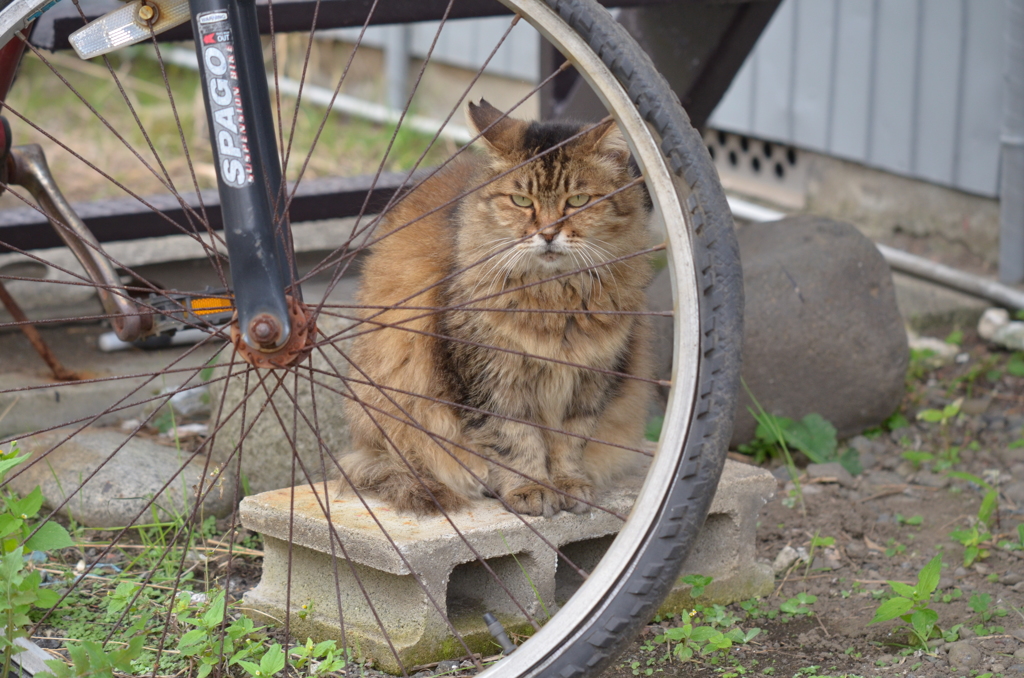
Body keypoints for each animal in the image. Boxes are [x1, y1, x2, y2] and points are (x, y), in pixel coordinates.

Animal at [337, 99, 655, 516]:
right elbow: (515, 440)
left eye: (578, 201)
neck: (554, 302)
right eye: (521, 201)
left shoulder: (590, 379)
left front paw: (569, 485)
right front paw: (530, 489)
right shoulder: (491, 378)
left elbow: (569, 441)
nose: (548, 234)